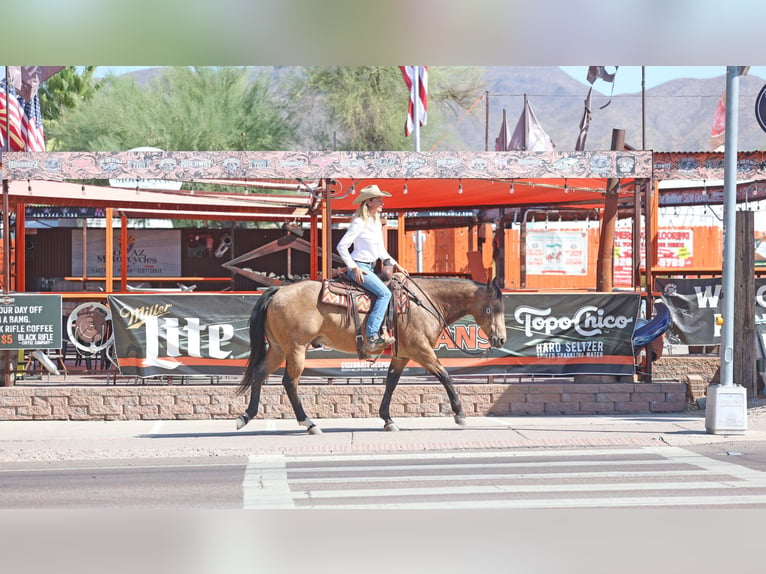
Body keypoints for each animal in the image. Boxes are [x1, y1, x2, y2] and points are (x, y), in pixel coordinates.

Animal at [237, 276, 508, 434]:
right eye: (492, 309)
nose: (501, 339)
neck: (424, 302)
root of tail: (278, 292)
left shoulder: (402, 354)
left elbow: (391, 383)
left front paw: (387, 419)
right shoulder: (421, 350)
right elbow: (445, 375)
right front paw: (459, 414)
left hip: (278, 348)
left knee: (260, 373)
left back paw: (246, 416)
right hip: (296, 349)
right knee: (289, 382)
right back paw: (309, 423)